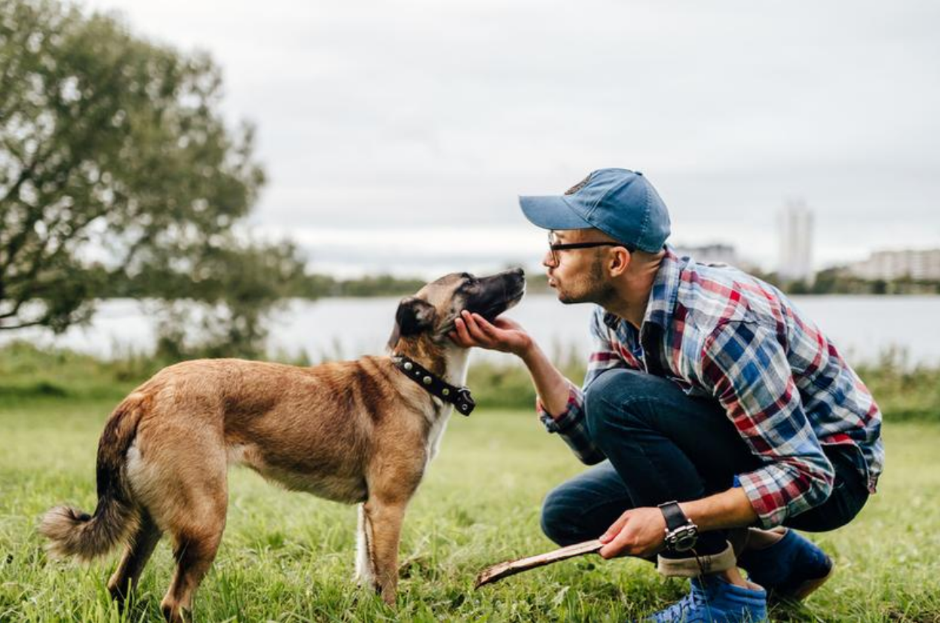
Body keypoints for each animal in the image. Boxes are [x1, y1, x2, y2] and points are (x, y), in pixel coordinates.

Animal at [40, 270, 524, 623]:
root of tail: (145, 393)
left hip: (152, 520)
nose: (520, 271)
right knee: (174, 602)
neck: (414, 375)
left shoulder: (368, 513)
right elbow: (387, 579)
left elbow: (368, 572)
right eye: (468, 282)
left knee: (120, 585)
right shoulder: (388, 508)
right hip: (206, 519)